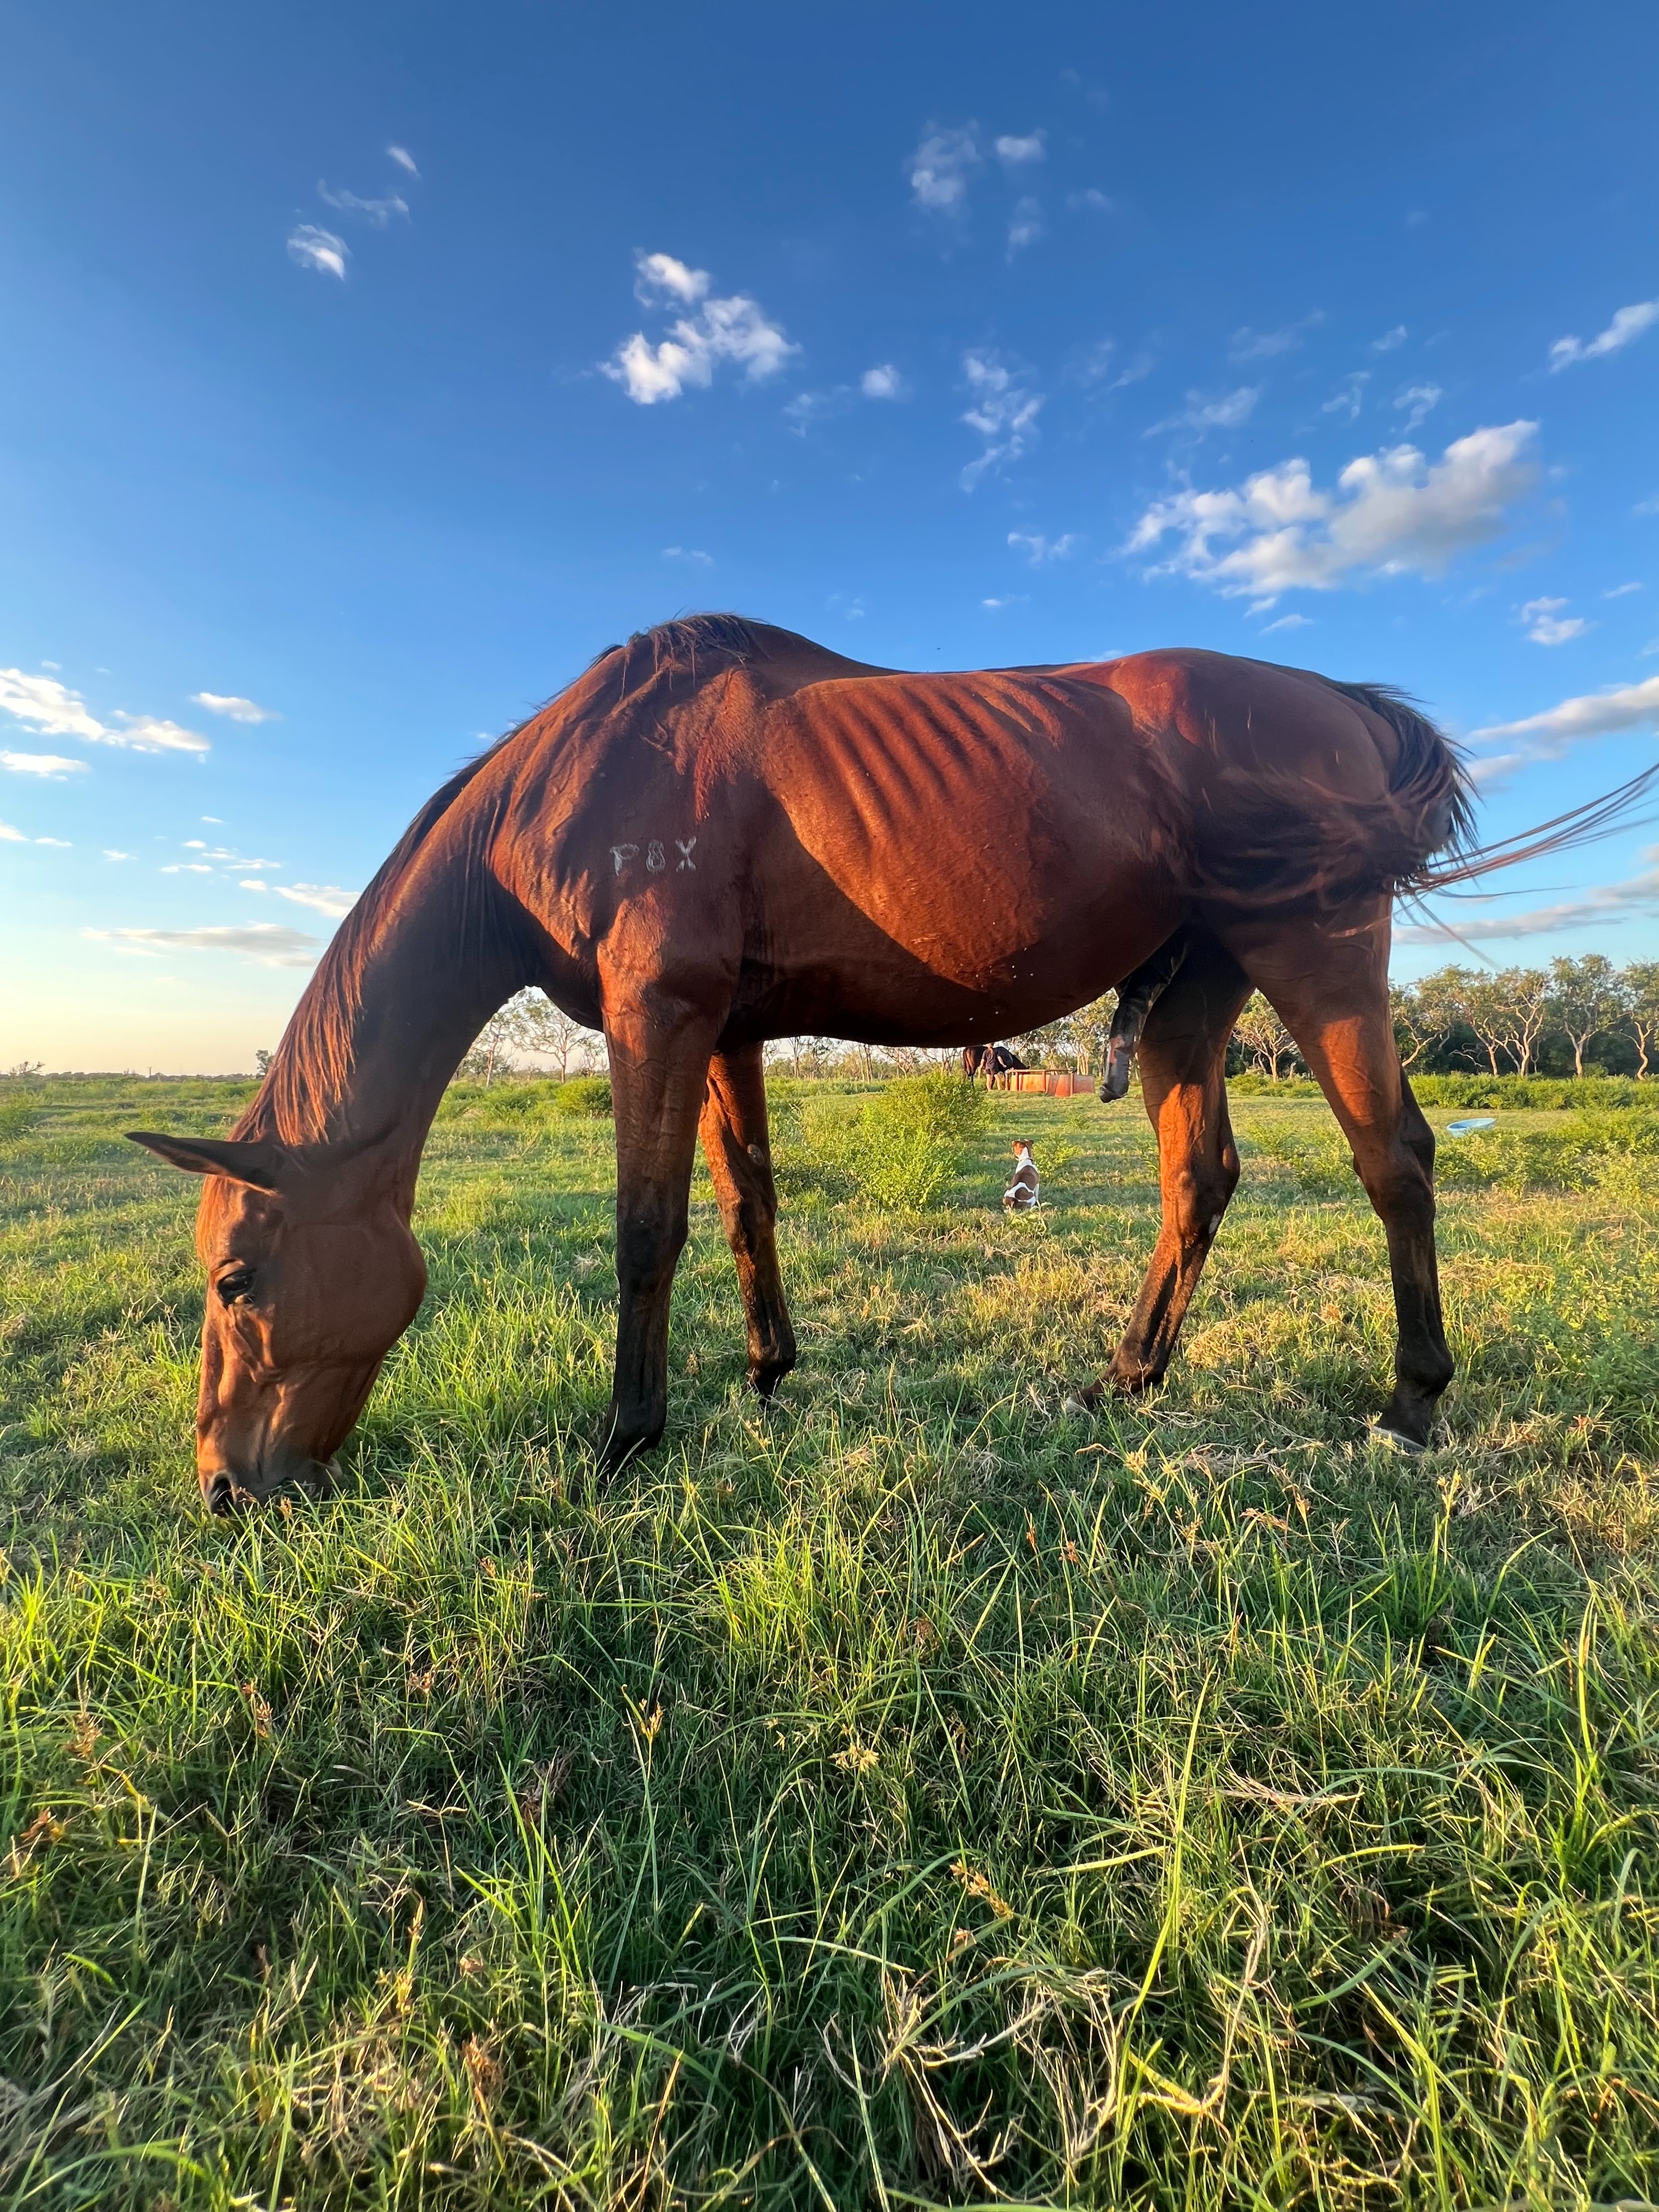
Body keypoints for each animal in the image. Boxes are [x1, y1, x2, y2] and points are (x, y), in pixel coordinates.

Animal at [127, 615, 1636, 1510]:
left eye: (235, 1280)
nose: (222, 1487)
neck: (578, 778)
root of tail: (1340, 702)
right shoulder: (724, 1029)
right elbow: (745, 1207)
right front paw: (766, 1372)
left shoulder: (656, 1014)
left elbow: (645, 1229)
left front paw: (625, 1441)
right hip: (1196, 999)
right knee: (1199, 1178)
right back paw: (1127, 1377)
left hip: (1314, 952)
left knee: (1396, 1162)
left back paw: (1411, 1405)